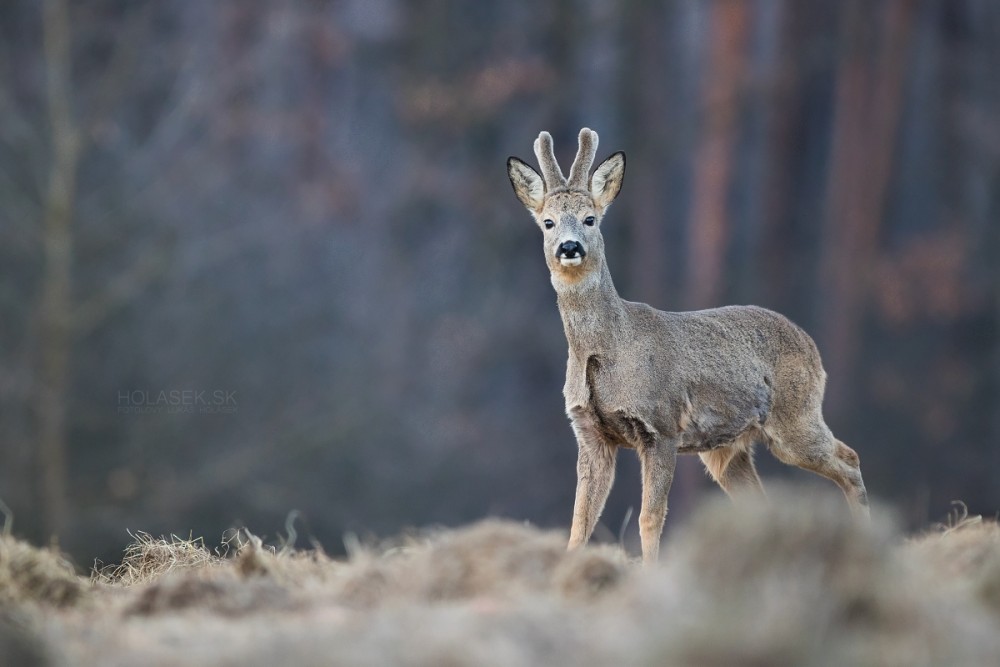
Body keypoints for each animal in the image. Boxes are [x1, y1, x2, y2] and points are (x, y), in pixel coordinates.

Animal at [508, 126, 868, 564]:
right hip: (727, 449)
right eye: (548, 223)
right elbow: (580, 521)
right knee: (762, 500)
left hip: (795, 418)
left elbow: (650, 517)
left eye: (590, 218)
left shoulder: (661, 426)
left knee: (849, 459)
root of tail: (811, 345)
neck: (609, 349)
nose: (570, 247)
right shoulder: (590, 434)